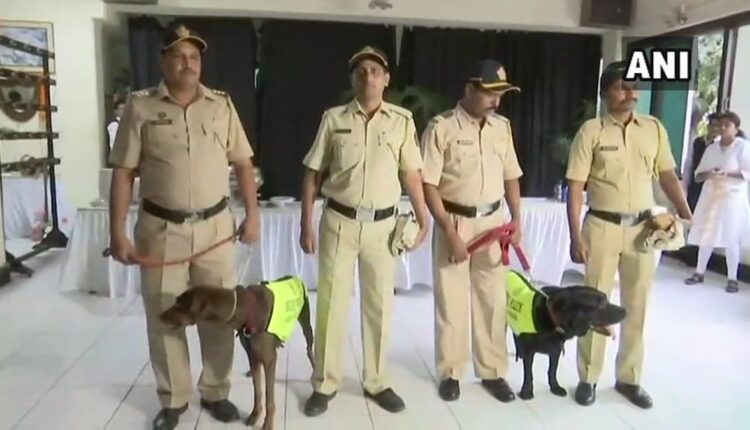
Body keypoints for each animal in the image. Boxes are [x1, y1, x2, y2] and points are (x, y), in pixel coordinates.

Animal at [160, 276, 314, 430]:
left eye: (179, 305)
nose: (159, 315)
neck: (243, 310)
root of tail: (293, 277)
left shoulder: (269, 359)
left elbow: (269, 397)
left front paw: (268, 423)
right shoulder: (252, 354)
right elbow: (257, 392)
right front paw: (254, 415)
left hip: (306, 324)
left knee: (309, 349)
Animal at [506, 270, 627, 400]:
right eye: (601, 303)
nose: (625, 311)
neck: (552, 318)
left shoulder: (556, 351)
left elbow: (552, 371)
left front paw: (555, 387)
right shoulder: (530, 352)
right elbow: (529, 373)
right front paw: (527, 391)